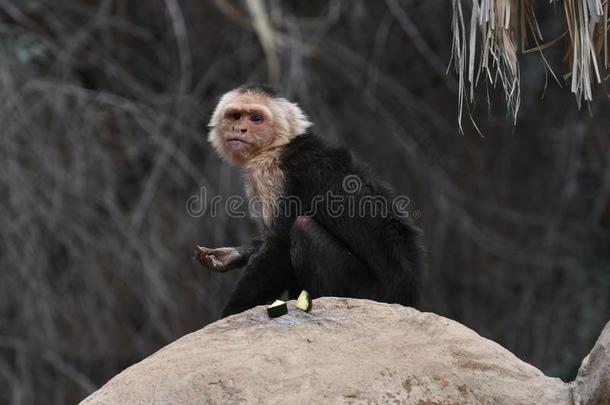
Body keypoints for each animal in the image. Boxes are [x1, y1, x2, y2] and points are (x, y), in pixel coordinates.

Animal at [195, 84, 422, 316]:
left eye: (256, 119)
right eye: (236, 116)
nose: (239, 129)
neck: (278, 145)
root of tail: (408, 297)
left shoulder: (270, 173)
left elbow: (278, 248)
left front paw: (233, 312)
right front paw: (233, 255)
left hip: (369, 293)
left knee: (303, 228)